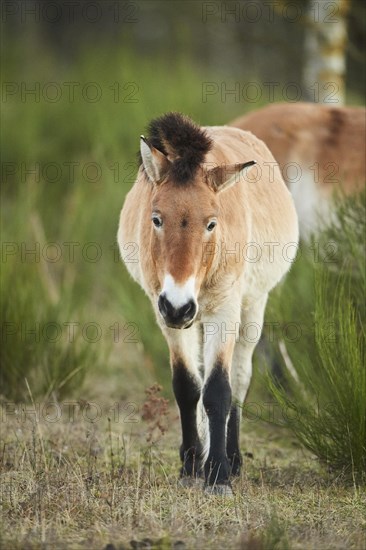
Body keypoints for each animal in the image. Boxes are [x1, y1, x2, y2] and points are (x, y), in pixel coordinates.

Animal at [118, 112, 298, 496]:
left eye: (211, 223)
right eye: (156, 218)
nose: (179, 306)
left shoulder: (224, 312)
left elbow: (219, 390)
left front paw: (218, 476)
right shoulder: (166, 316)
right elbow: (188, 388)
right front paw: (190, 468)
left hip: (251, 309)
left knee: (241, 380)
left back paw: (234, 459)